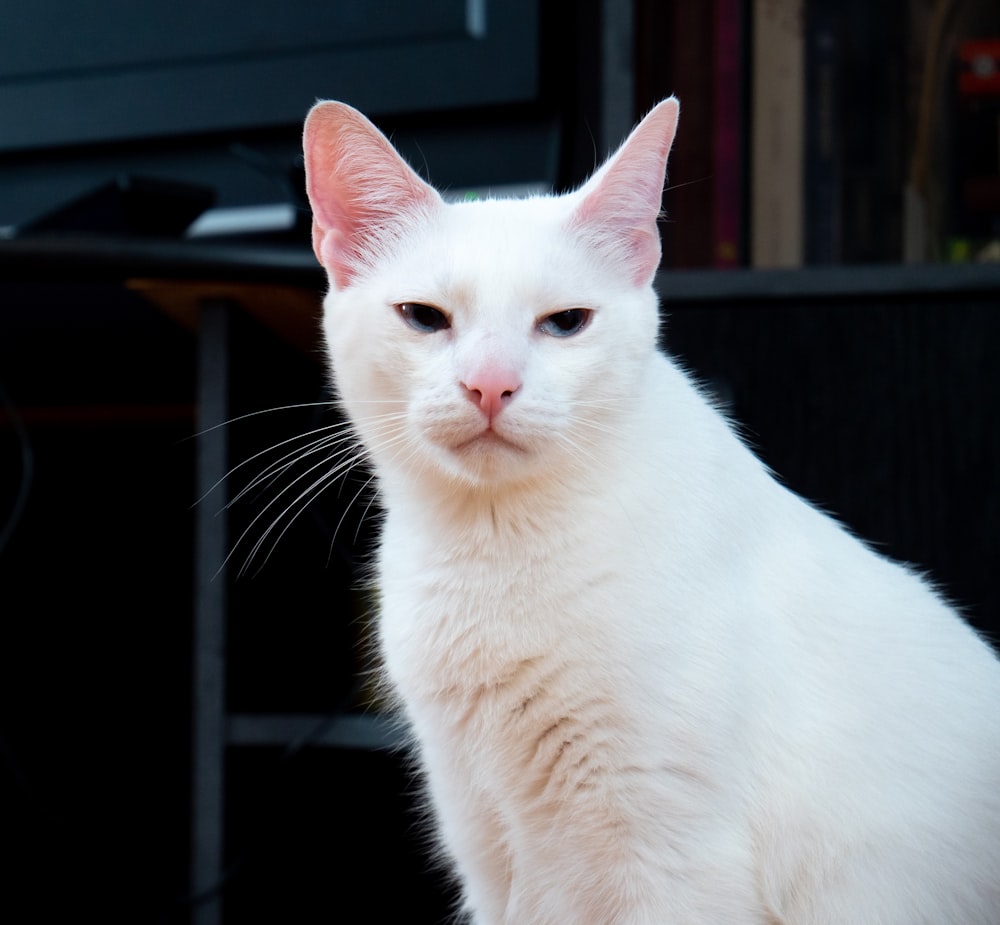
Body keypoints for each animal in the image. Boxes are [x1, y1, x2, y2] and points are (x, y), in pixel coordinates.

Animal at [302, 97, 1000, 920]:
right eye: (423, 316)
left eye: (565, 323)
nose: (491, 384)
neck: (494, 549)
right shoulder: (488, 855)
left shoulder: (672, 864)